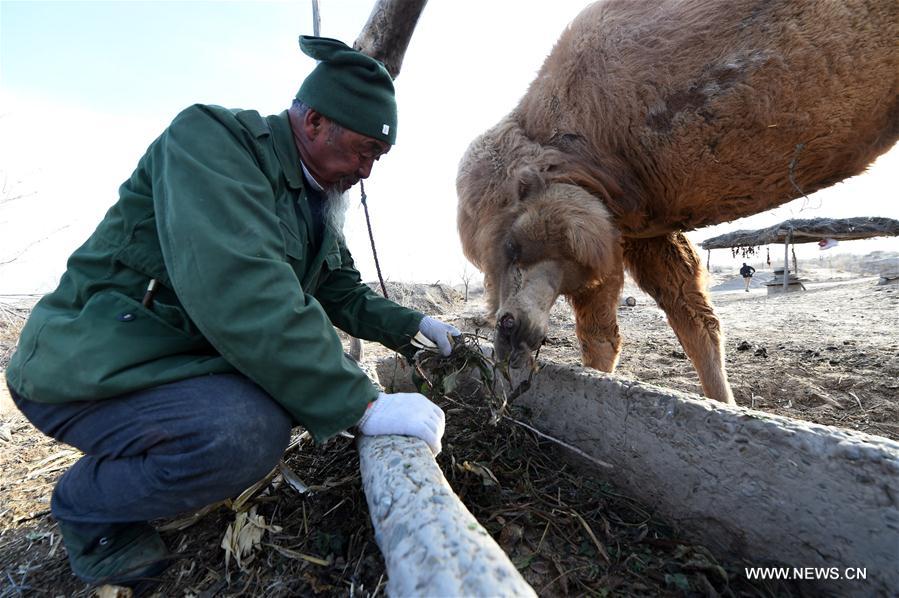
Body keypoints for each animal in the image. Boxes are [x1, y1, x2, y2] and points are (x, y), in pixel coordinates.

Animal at [460, 0, 896, 406]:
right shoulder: (641, 228)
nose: (506, 334)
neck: (574, 152)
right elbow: (696, 321)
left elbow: (600, 335)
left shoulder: (604, 225)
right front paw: (725, 405)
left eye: (513, 244)